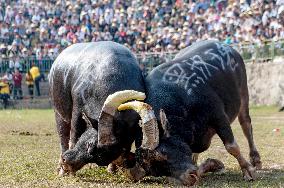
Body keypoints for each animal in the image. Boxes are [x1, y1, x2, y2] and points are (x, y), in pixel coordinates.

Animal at [48, 41, 144, 175]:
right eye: (90, 145)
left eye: (99, 158)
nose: (66, 162)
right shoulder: (77, 107)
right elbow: (74, 135)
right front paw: (66, 172)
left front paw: (111, 169)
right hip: (58, 111)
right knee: (63, 136)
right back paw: (60, 170)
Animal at [113, 40, 262, 186]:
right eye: (157, 171)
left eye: (162, 153)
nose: (190, 177)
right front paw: (214, 164)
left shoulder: (218, 116)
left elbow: (231, 146)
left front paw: (248, 170)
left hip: (243, 92)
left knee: (246, 123)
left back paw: (256, 160)